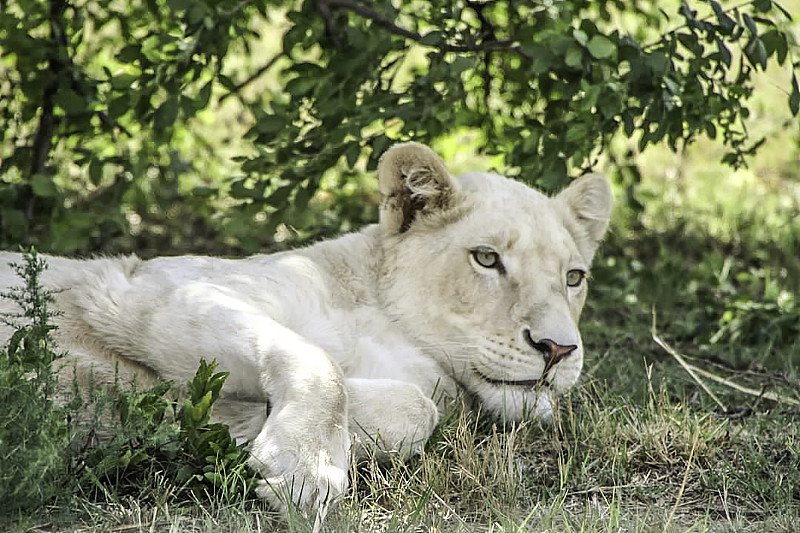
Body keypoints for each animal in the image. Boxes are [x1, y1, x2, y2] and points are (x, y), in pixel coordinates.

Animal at [0, 141, 612, 516]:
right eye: (486, 259)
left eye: (574, 277)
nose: (558, 349)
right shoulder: (150, 291)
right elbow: (324, 365)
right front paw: (302, 466)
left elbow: (418, 407)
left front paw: (230, 426)